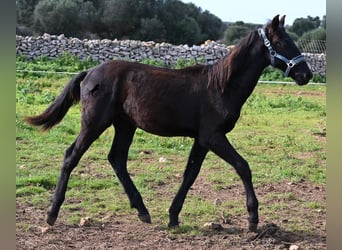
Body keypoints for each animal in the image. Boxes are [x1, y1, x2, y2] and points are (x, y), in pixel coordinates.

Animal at [24, 14, 312, 231]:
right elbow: (243, 167)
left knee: (117, 159)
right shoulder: (213, 136)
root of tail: (89, 73)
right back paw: (52, 214)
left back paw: (143, 211)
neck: (221, 85)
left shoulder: (201, 140)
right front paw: (253, 218)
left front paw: (173, 216)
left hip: (125, 125)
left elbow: (190, 174)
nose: (306, 74)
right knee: (71, 156)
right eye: (282, 42)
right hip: (94, 123)